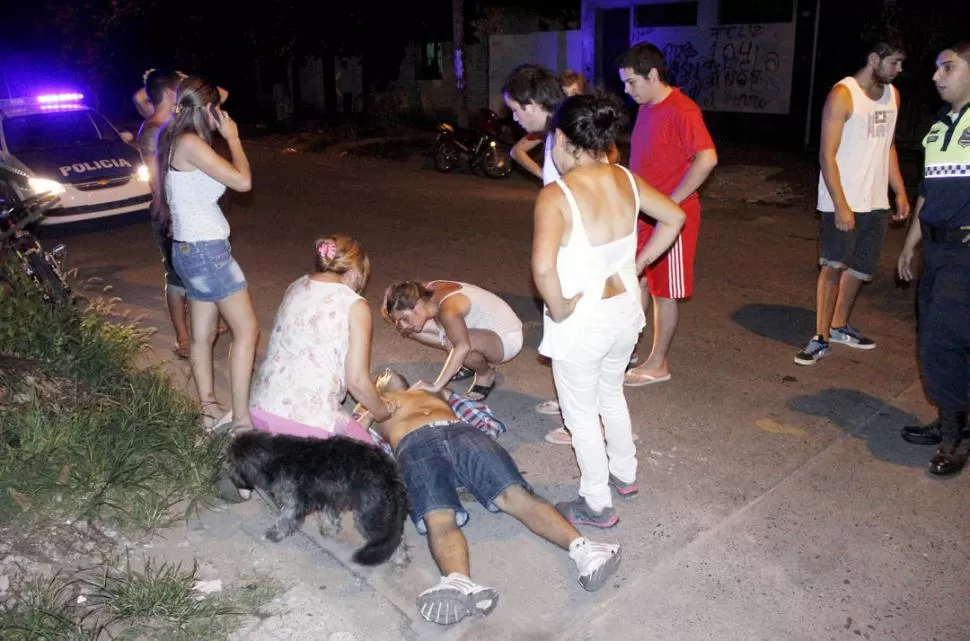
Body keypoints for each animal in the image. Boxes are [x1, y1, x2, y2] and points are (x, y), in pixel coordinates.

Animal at [225, 430, 406, 564]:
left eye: (232, 462)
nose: (230, 476)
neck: (275, 457)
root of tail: (390, 474)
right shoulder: (330, 498)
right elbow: (328, 516)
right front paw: (329, 530)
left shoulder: (292, 503)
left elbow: (284, 520)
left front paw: (274, 534)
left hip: (370, 516)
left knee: (391, 539)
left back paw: (399, 558)